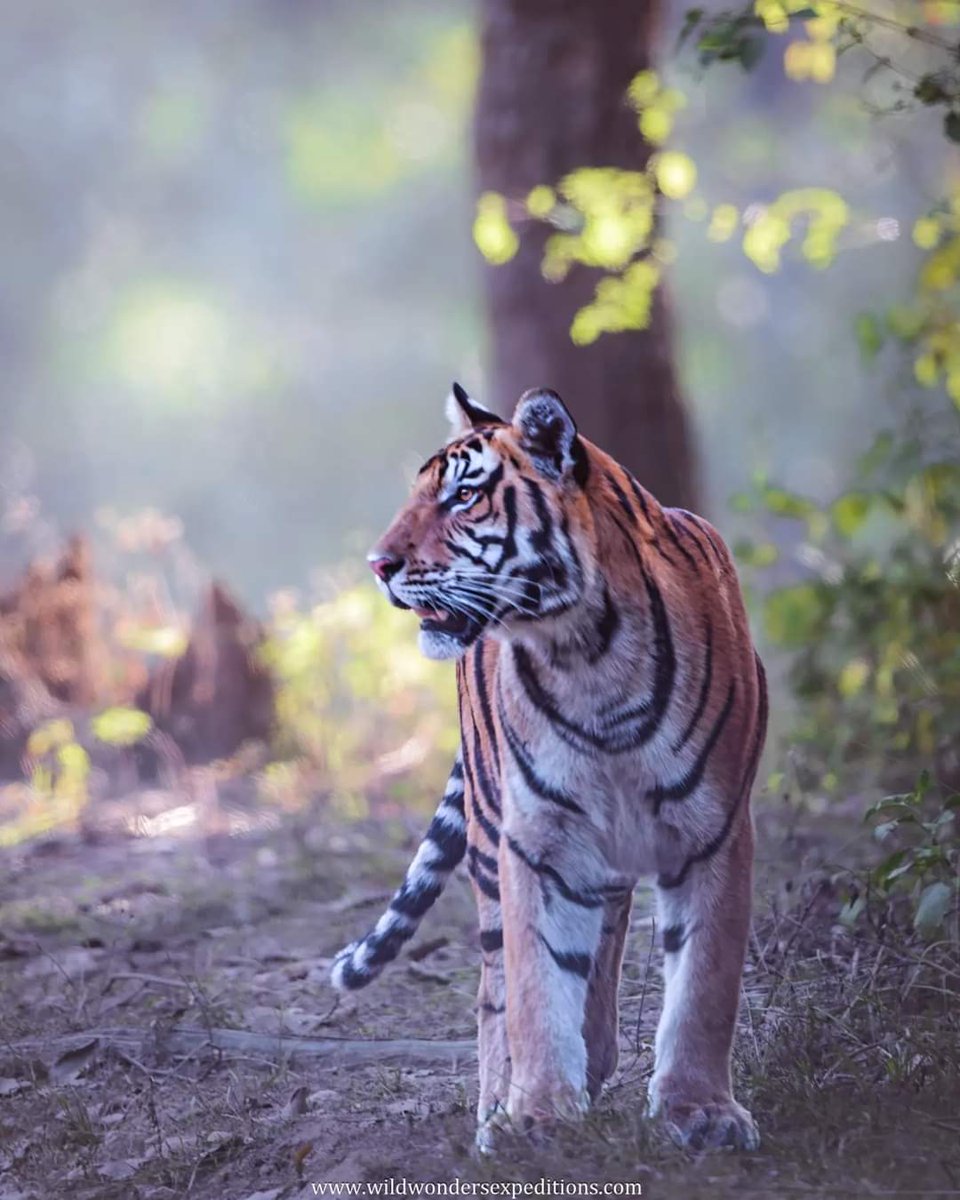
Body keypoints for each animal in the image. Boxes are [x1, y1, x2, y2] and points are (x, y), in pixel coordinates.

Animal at [331, 383, 767, 1154]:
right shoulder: (537, 840)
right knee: (494, 986)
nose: (377, 565)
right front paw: (534, 1115)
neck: (592, 656)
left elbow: (705, 985)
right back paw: (500, 1101)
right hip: (488, 837)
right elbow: (535, 983)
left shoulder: (714, 831)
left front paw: (701, 1111)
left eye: (462, 497)